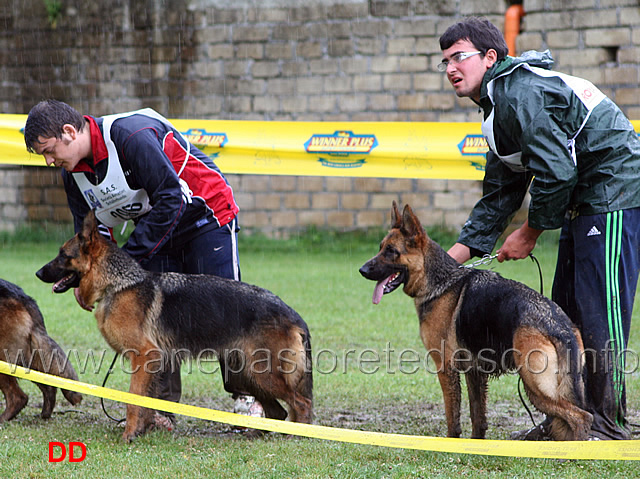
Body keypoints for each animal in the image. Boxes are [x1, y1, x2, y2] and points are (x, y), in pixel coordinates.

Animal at [36, 212, 314, 444]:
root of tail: (293, 314)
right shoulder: (153, 363)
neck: (117, 285)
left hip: (261, 373)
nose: (38, 273)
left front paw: (129, 435)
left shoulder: (144, 356)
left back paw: (298, 435)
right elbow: (146, 402)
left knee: (301, 402)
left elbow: (133, 401)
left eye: (63, 255)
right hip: (248, 373)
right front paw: (142, 430)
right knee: (278, 410)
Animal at [360, 202, 596, 442]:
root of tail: (560, 325)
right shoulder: (474, 371)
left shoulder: (445, 368)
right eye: (381, 248)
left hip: (536, 387)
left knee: (581, 417)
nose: (362, 270)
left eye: (391, 251)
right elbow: (477, 416)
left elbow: (452, 417)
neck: (439, 282)